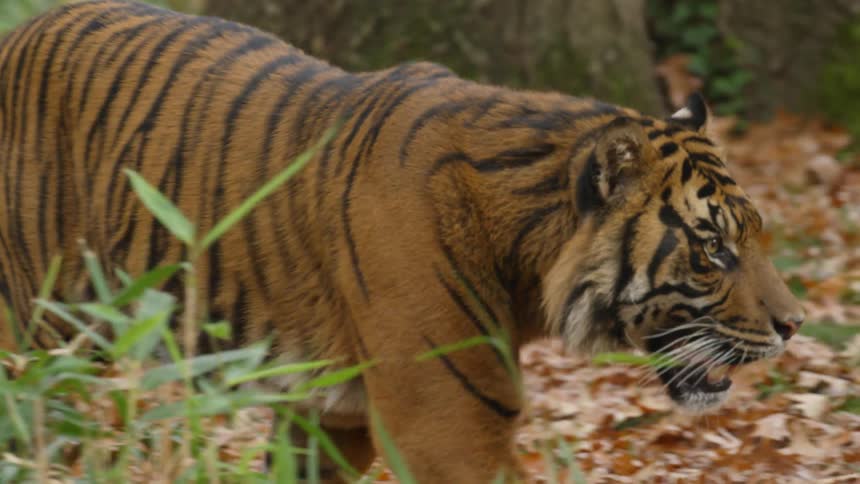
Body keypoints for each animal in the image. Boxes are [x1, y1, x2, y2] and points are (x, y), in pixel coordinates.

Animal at [0, 1, 805, 482]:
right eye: (714, 249)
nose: (796, 326)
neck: (522, 249)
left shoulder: (334, 416)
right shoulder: (450, 425)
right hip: (43, 334)